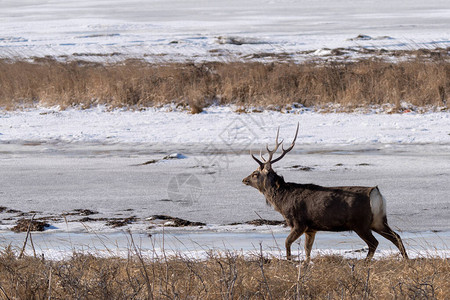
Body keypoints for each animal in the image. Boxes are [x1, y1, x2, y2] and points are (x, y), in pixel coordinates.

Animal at [243, 123, 408, 262]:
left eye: (255, 174)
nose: (244, 179)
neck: (283, 202)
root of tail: (376, 194)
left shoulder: (299, 222)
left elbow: (287, 243)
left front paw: (289, 262)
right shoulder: (312, 228)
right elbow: (307, 251)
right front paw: (305, 266)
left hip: (360, 223)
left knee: (374, 243)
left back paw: (365, 263)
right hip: (379, 220)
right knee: (397, 237)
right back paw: (405, 261)